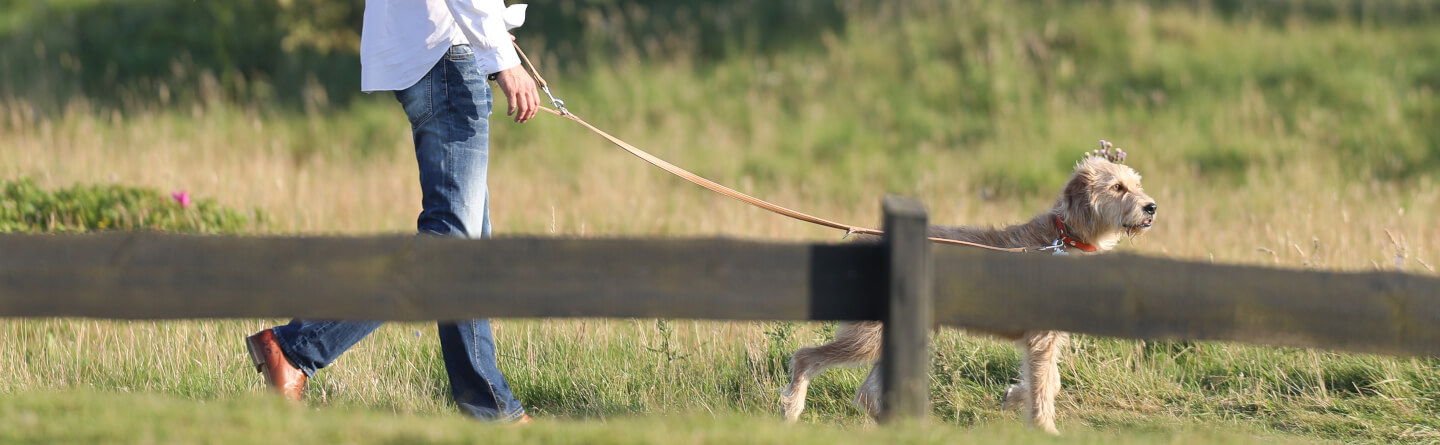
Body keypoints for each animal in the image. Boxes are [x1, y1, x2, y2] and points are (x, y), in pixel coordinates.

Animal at [783, 147, 1152, 432]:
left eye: (1136, 185)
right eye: (1118, 187)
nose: (1152, 207)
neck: (1064, 237)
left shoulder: (1045, 338)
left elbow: (1051, 381)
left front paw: (1014, 397)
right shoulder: (1041, 339)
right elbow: (1045, 386)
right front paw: (1045, 430)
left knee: (867, 393)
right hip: (868, 337)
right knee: (806, 357)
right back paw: (793, 409)